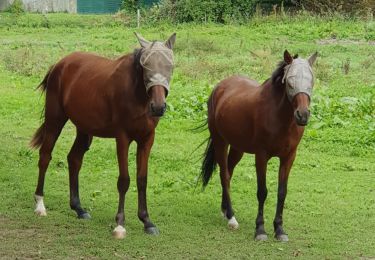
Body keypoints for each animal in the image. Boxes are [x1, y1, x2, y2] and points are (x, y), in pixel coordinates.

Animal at [30, 32, 176, 238]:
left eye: (170, 66)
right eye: (146, 67)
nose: (158, 107)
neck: (137, 95)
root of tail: (59, 64)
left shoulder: (147, 139)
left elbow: (142, 179)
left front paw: (147, 221)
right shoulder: (122, 138)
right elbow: (124, 180)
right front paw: (120, 224)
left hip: (84, 129)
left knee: (74, 159)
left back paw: (79, 208)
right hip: (54, 121)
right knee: (45, 156)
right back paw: (40, 205)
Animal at [201, 50, 318, 242]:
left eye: (311, 81)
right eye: (290, 81)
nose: (302, 115)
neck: (280, 117)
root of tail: (220, 87)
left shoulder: (289, 157)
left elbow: (282, 192)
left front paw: (279, 229)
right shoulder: (261, 156)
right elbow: (262, 191)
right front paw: (260, 230)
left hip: (237, 148)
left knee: (228, 173)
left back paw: (225, 210)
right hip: (220, 141)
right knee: (224, 175)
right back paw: (231, 218)